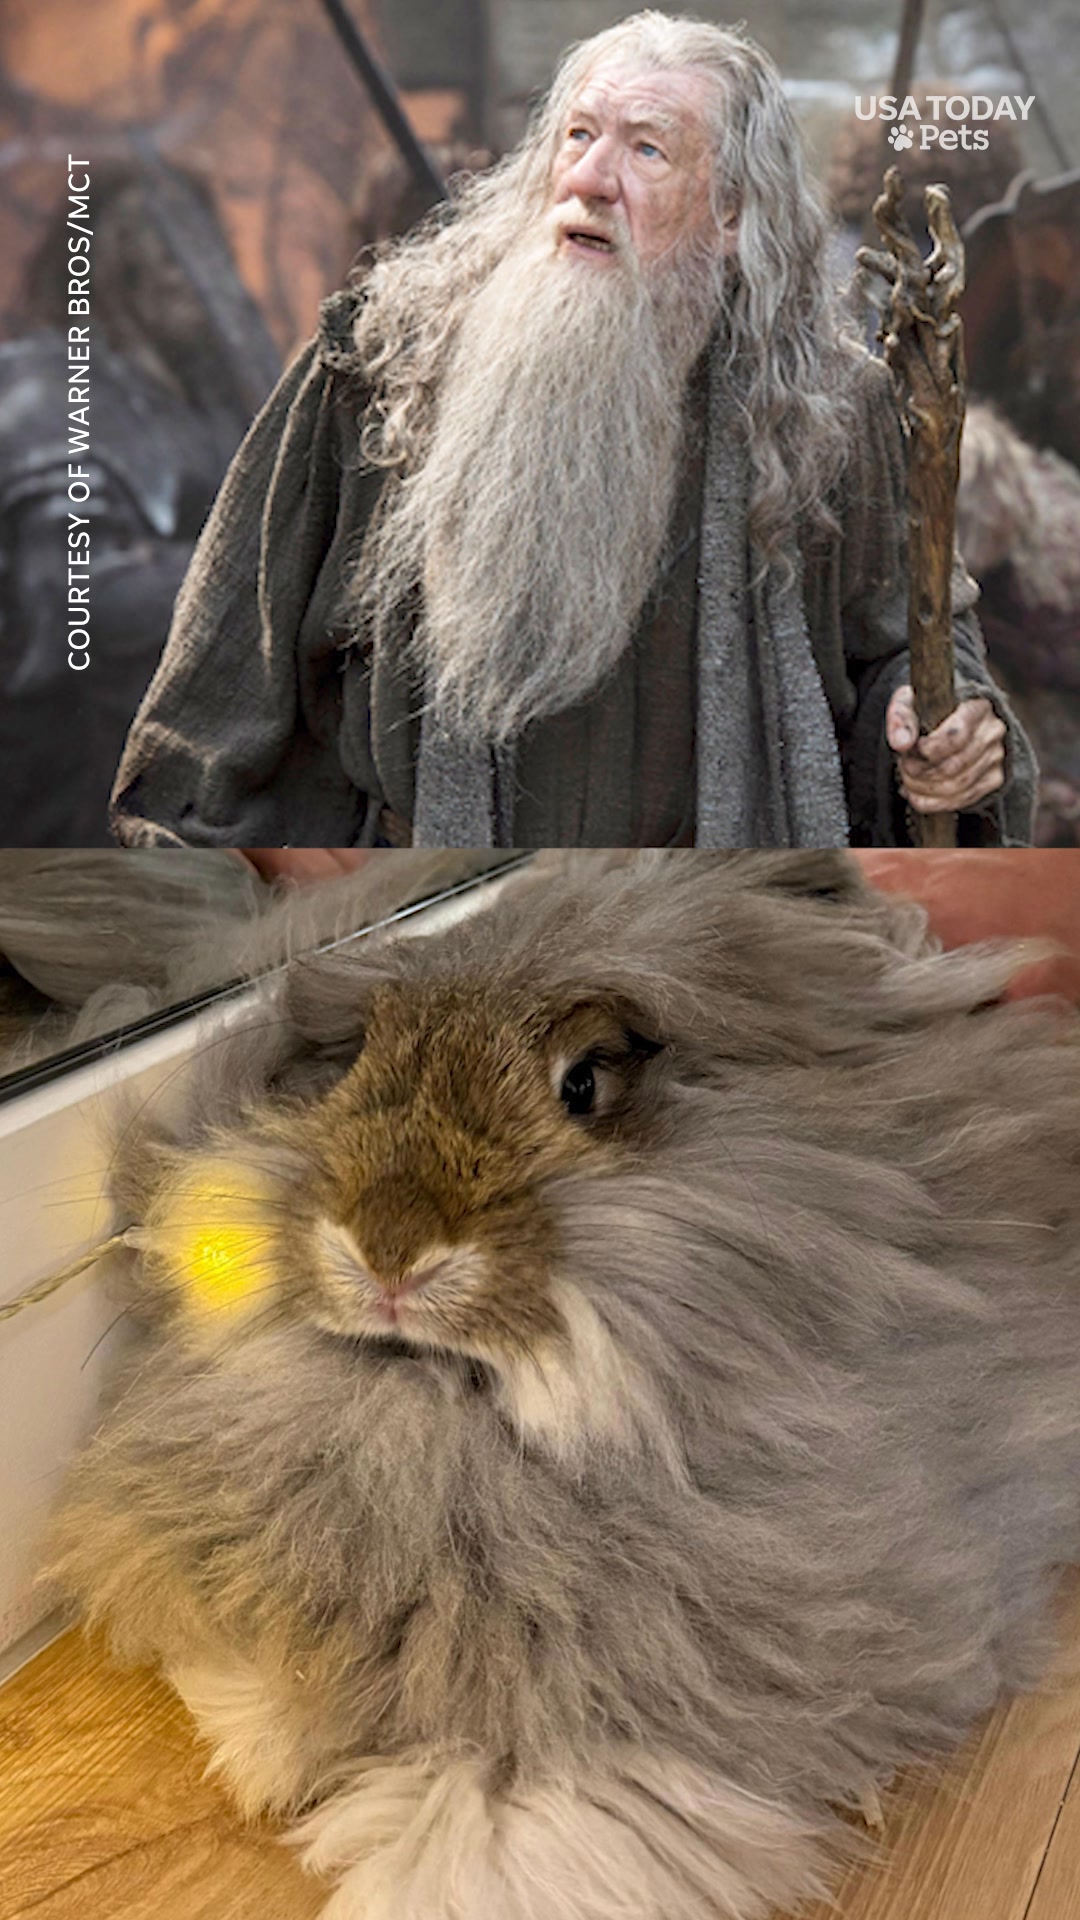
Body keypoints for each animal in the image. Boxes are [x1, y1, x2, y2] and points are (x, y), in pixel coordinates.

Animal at [41, 849, 1080, 1920]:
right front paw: (263, 1745)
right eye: (359, 1059)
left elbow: (537, 1811)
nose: (388, 1252)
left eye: (583, 1083)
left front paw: (437, 1886)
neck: (442, 1411)